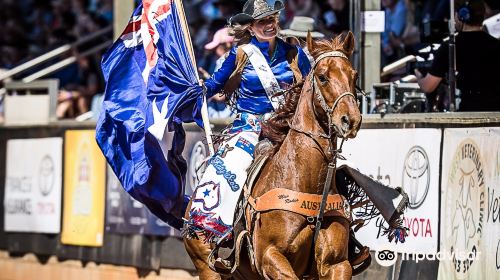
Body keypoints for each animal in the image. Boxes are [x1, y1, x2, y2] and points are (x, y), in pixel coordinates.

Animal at [184, 31, 364, 278]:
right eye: (322, 77)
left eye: (354, 75)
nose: (351, 120)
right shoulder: (270, 257)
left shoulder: (337, 264)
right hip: (206, 266)